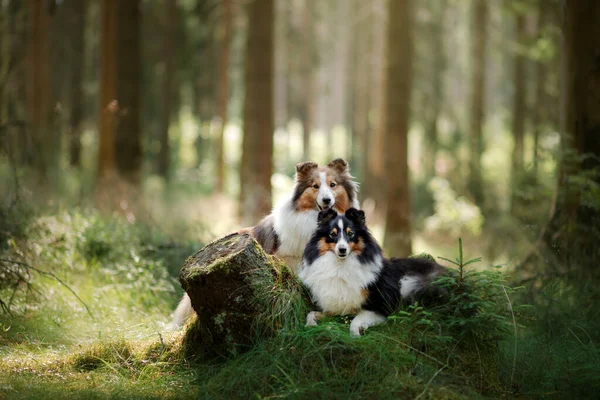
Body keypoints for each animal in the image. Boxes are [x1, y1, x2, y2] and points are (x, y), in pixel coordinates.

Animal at [298, 208, 446, 336]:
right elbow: (311, 313)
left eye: (350, 233)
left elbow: (355, 320)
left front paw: (355, 335)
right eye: (332, 234)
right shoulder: (336, 307)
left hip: (411, 283)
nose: (342, 250)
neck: (341, 266)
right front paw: (310, 325)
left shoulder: (380, 308)